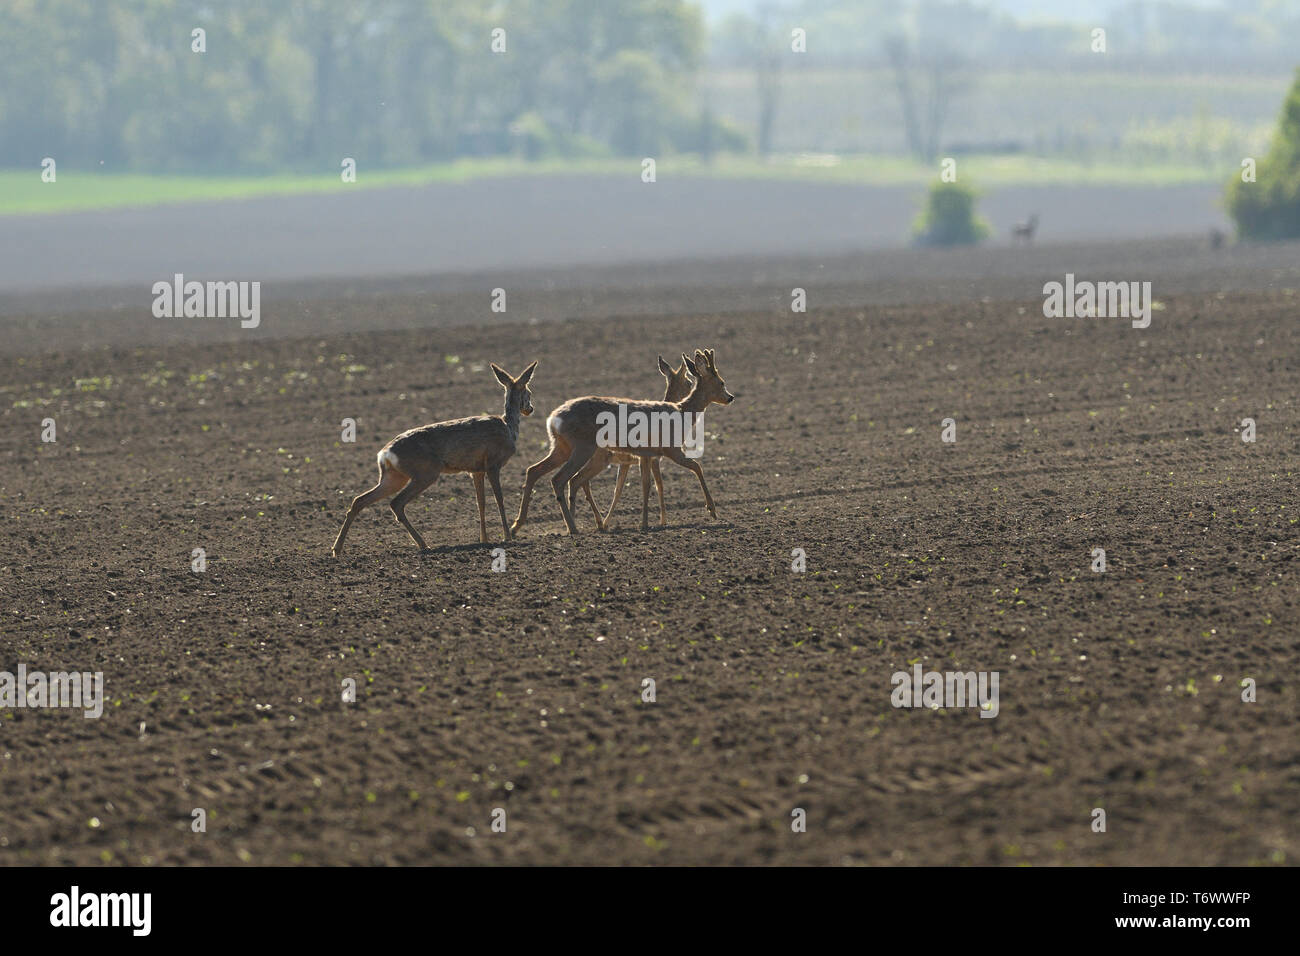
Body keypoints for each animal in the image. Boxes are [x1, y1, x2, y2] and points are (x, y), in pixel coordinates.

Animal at [335, 358, 543, 556]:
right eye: (529, 392)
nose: (530, 409)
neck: (508, 428)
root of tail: (384, 454)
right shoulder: (493, 464)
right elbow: (499, 499)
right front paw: (507, 537)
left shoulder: (476, 470)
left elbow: (481, 503)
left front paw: (484, 539)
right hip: (426, 471)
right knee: (396, 503)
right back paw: (423, 544)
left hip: (394, 476)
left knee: (359, 500)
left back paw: (337, 549)